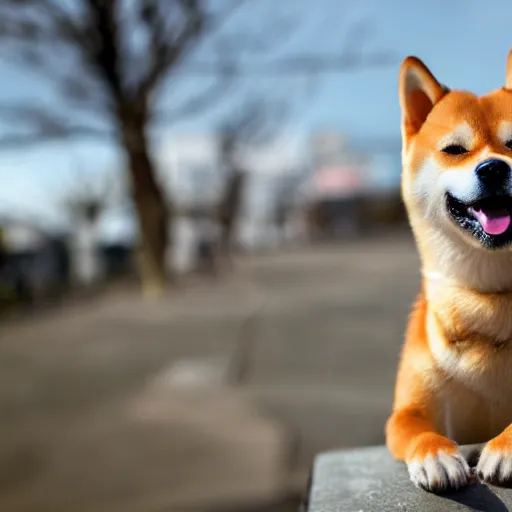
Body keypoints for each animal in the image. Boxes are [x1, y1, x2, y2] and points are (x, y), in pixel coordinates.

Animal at [386, 51, 512, 492]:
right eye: (455, 150)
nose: (494, 169)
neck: (487, 301)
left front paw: (504, 447)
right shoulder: (408, 409)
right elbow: (416, 429)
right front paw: (436, 455)